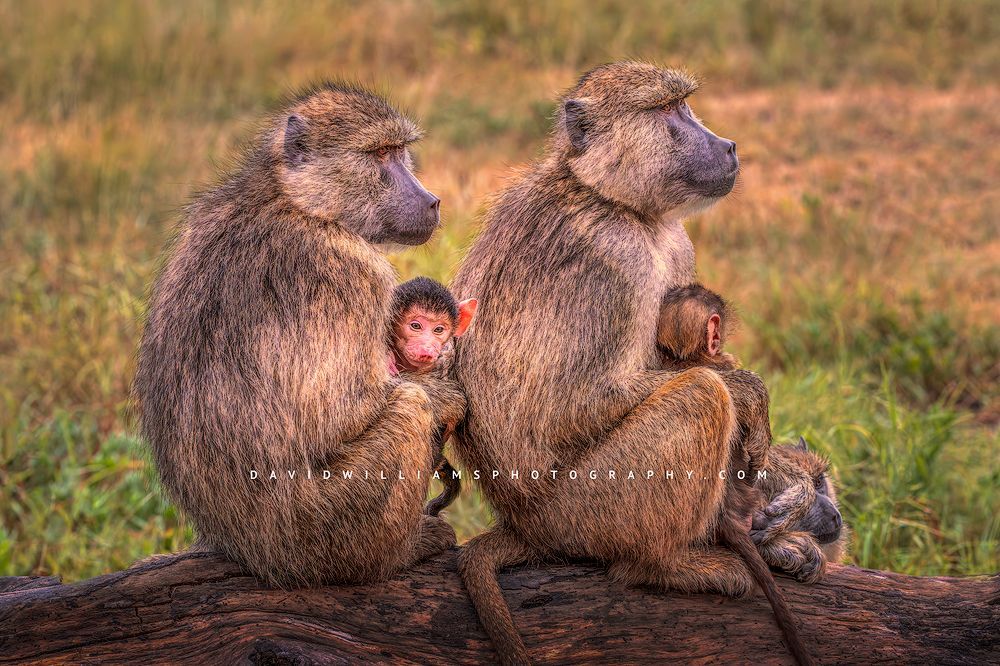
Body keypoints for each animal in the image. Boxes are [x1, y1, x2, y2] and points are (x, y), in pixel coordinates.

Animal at [133, 82, 466, 589]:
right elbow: (337, 414)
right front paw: (445, 398)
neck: (296, 201)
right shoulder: (352, 275)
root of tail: (251, 551)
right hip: (320, 526)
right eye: (380, 154)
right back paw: (399, 555)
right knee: (410, 409)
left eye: (400, 152)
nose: (431, 201)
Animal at [451, 61, 813, 665]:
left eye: (685, 104)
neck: (614, 202)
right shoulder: (610, 261)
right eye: (667, 111)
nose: (728, 146)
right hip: (585, 508)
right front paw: (746, 392)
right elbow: (574, 405)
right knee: (700, 398)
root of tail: (525, 525)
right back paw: (665, 565)